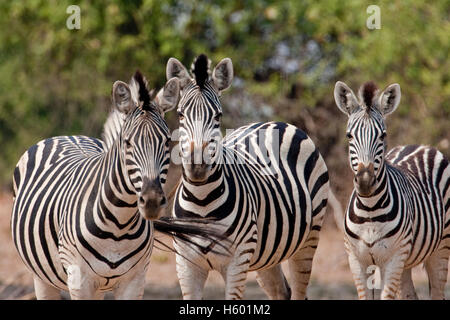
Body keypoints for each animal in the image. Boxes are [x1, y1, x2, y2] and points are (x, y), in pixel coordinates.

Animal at [11, 70, 225, 300]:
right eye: (127, 142)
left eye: (168, 142)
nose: (151, 201)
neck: (118, 226)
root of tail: (67, 135)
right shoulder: (79, 281)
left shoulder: (135, 280)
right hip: (42, 277)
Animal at [165, 53, 330, 298]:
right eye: (180, 114)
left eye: (218, 116)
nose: (198, 167)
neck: (201, 199)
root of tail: (275, 122)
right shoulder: (186, 265)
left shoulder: (237, 262)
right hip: (268, 254)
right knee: (281, 291)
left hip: (309, 239)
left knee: (299, 291)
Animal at [334, 80, 450, 300]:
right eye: (349, 136)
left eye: (383, 135)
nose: (365, 182)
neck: (369, 210)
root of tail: (422, 146)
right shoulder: (356, 261)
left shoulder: (393, 259)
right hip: (406, 260)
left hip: (440, 248)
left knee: (437, 290)